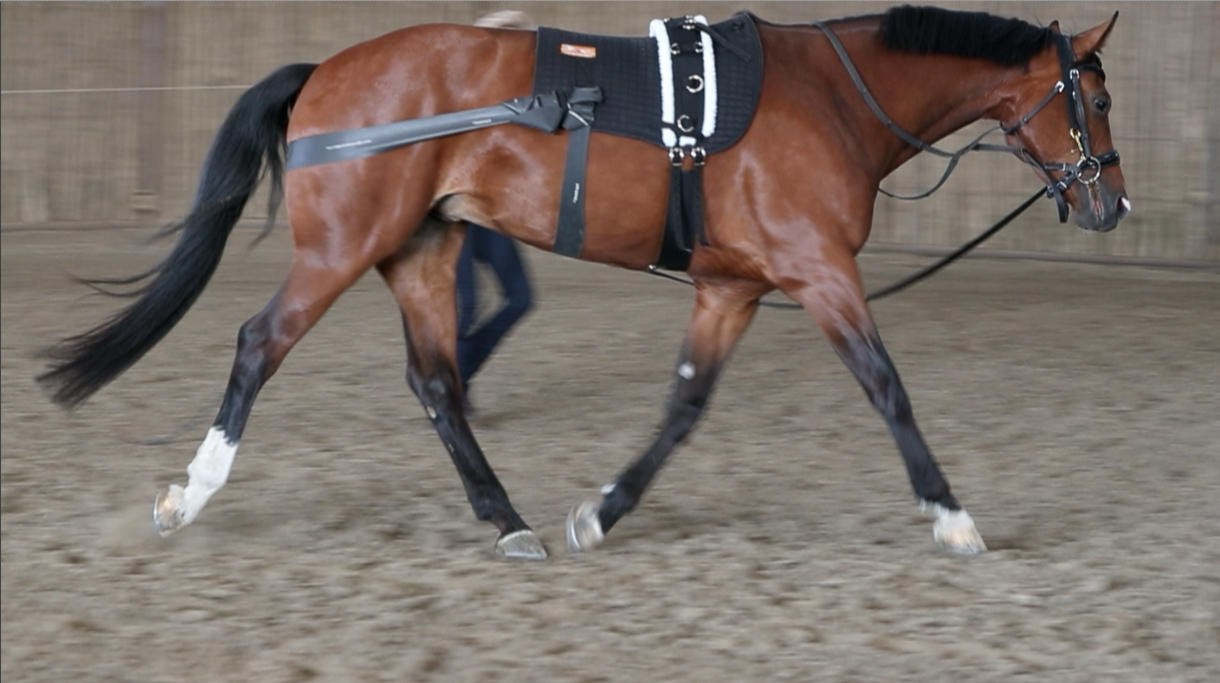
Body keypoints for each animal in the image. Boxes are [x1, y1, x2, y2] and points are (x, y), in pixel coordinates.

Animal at [39, 6, 1129, 560]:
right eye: (1096, 96)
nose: (1110, 203)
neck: (828, 96)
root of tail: (325, 73)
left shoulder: (731, 289)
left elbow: (682, 408)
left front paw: (600, 512)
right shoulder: (819, 272)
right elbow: (888, 387)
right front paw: (950, 513)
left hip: (423, 252)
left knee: (436, 382)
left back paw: (510, 519)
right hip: (342, 249)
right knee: (259, 345)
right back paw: (189, 496)